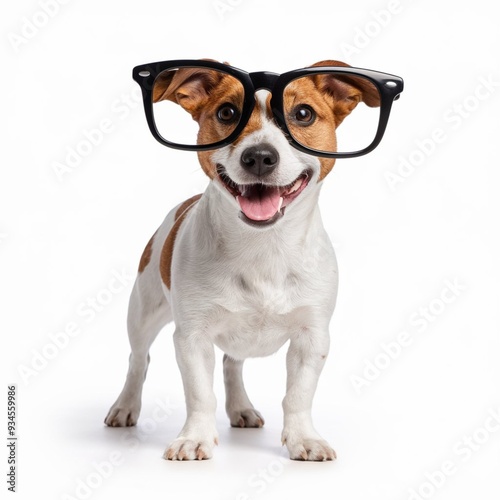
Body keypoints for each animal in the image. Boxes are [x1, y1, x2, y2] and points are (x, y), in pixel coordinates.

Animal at [103, 58, 380, 460]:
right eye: (227, 112)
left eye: (303, 114)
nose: (260, 156)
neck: (262, 246)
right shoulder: (192, 337)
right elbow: (200, 394)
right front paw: (195, 438)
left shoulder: (312, 338)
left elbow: (298, 395)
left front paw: (303, 438)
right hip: (142, 311)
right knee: (138, 360)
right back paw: (125, 406)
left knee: (231, 365)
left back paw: (241, 408)